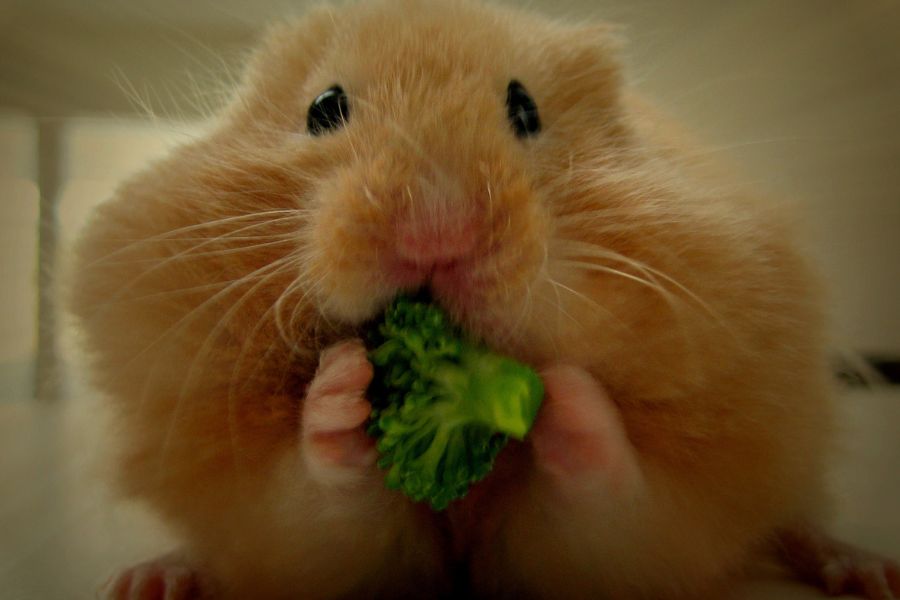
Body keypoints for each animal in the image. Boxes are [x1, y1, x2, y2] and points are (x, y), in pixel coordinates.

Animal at [67, 0, 899, 598]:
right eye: (325, 107)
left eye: (525, 109)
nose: (436, 232)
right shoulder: (295, 530)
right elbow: (322, 498)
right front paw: (340, 389)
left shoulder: (644, 529)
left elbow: (605, 497)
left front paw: (566, 396)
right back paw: (151, 579)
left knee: (795, 519)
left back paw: (864, 568)